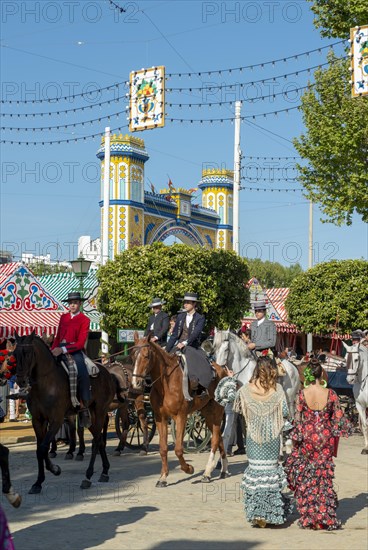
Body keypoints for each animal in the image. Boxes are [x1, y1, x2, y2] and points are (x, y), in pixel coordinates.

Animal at [12, 332, 123, 496]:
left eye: (28, 353)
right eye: (15, 354)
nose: (20, 381)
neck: (45, 383)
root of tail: (108, 373)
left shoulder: (56, 420)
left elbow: (43, 447)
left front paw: (54, 469)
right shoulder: (38, 421)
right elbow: (40, 449)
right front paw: (38, 482)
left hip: (100, 411)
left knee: (97, 440)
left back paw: (88, 476)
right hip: (89, 416)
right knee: (99, 439)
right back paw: (104, 472)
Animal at [129, 334, 227, 486]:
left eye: (146, 356)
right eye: (133, 355)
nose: (135, 383)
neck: (166, 383)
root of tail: (221, 369)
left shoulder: (181, 417)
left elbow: (178, 449)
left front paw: (189, 469)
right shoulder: (160, 418)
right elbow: (163, 448)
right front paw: (163, 477)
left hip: (217, 412)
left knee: (215, 440)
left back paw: (207, 473)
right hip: (207, 412)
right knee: (219, 437)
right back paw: (223, 469)